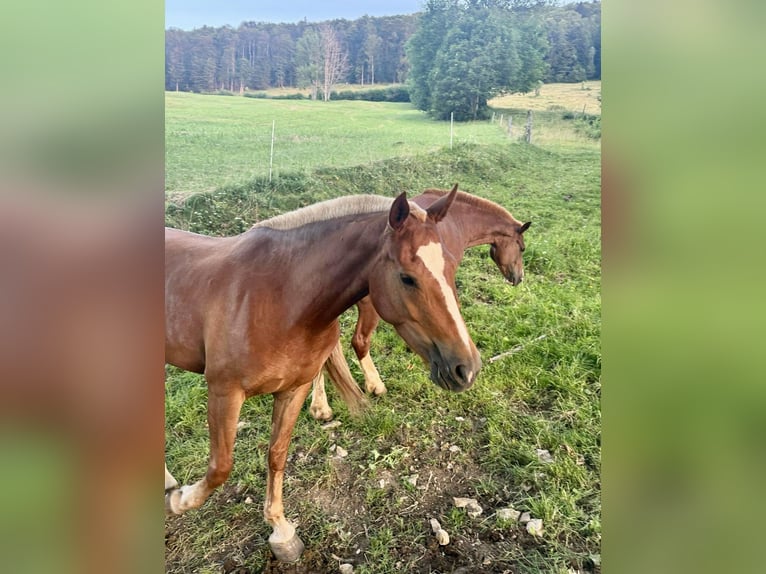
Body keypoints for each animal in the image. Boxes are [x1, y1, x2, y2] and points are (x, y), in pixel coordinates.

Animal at [165, 188, 484, 564]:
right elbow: (221, 466)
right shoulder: (223, 391)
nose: (466, 368)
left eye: (451, 268)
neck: (279, 297)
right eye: (407, 277)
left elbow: (277, 455)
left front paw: (281, 532)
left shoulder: (295, 389)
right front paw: (179, 500)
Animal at [308, 191, 532, 420]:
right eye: (522, 248)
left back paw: (320, 405)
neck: (456, 221)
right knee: (359, 341)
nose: (519, 278)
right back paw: (372, 386)